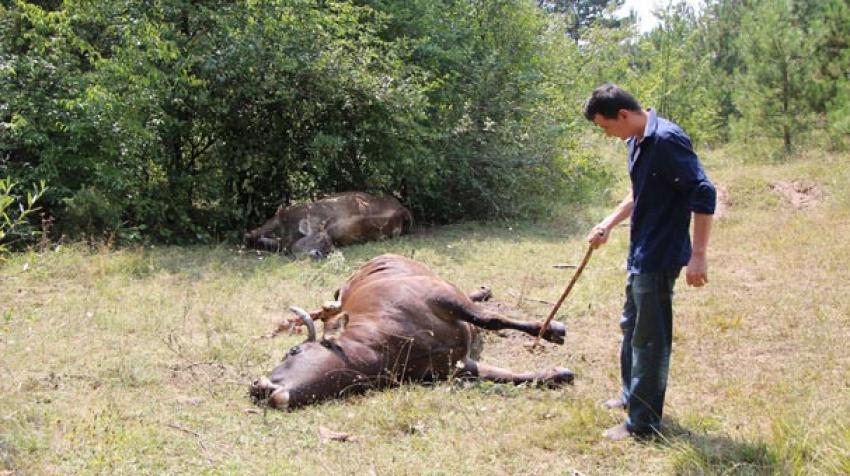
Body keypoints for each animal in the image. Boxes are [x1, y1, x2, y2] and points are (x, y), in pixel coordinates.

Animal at [248, 253, 572, 410]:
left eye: (293, 350)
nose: (257, 386)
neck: (386, 343)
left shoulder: (442, 295)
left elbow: (490, 319)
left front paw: (552, 330)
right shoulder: (457, 367)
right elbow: (507, 375)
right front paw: (555, 373)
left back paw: (485, 291)